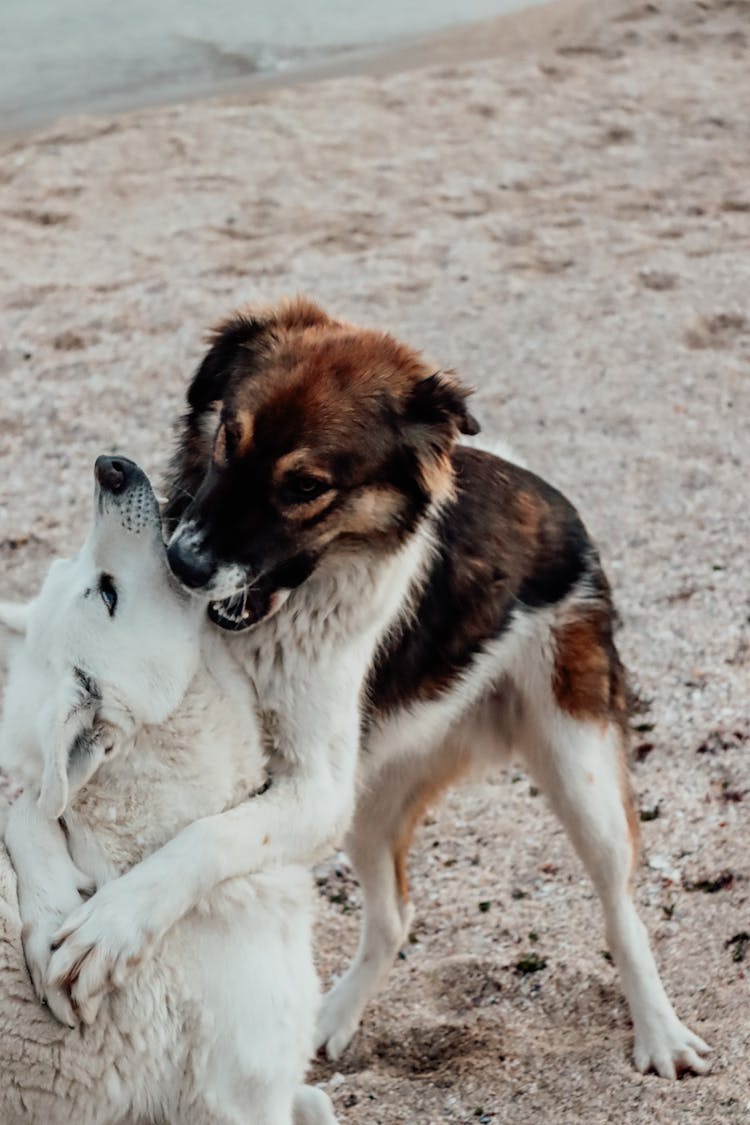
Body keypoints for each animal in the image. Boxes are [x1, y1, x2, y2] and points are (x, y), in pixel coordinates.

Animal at [48, 299, 710, 1080]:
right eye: (227, 438)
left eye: (306, 486)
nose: (182, 562)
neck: (270, 626)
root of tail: (556, 506)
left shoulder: (315, 789)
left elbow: (210, 834)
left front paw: (113, 925)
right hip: (372, 804)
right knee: (395, 918)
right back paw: (329, 1020)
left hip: (580, 772)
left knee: (620, 907)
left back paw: (660, 1031)